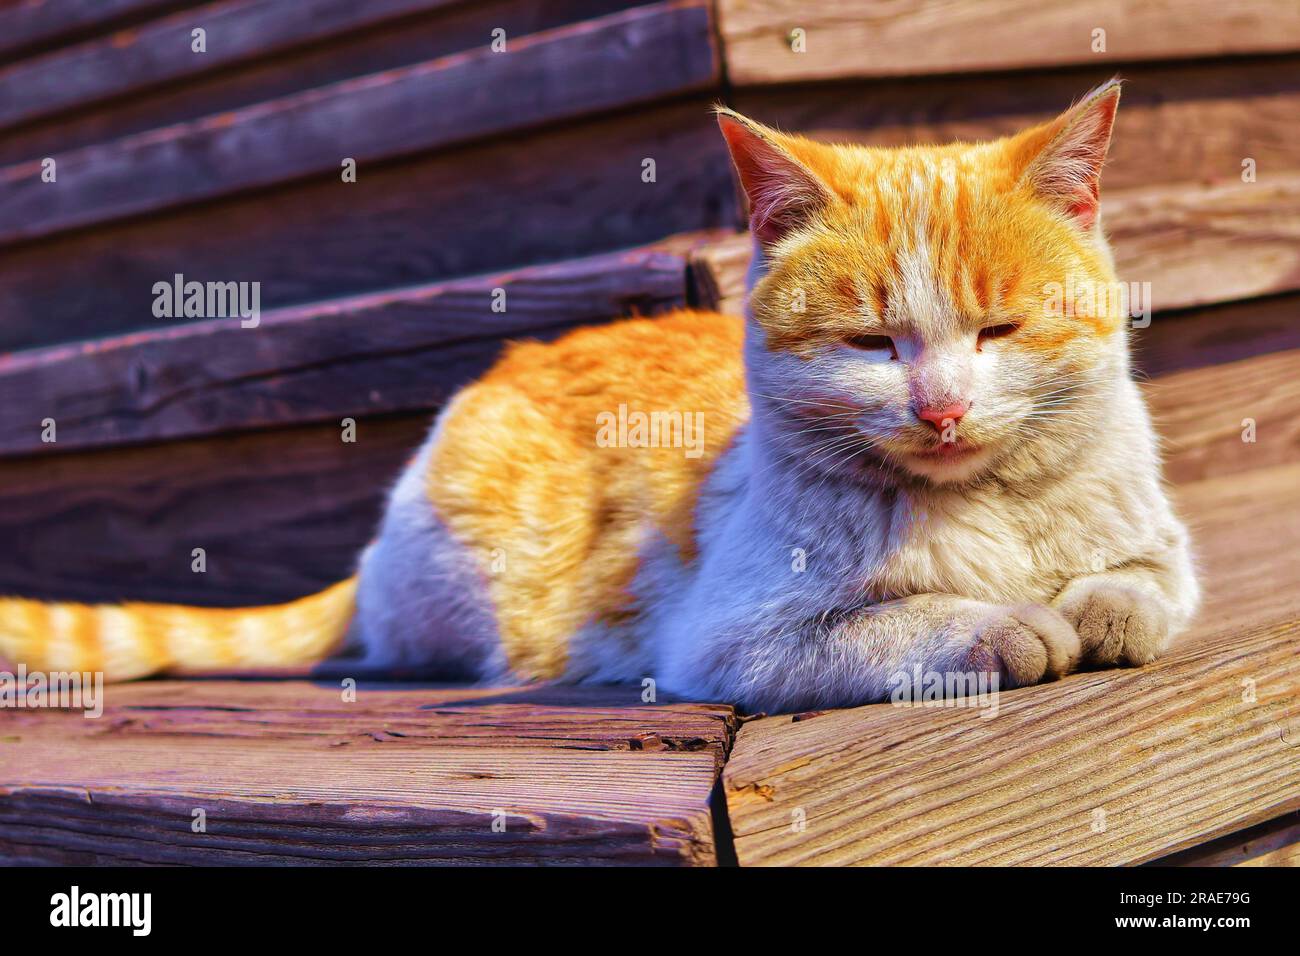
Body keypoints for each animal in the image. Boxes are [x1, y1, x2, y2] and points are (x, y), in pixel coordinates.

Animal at [0, 80, 1196, 712]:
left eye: (1000, 331)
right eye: (870, 341)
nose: (940, 410)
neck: (981, 506)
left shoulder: (1165, 551)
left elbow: (1141, 585)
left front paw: (1096, 608)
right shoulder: (734, 642)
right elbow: (902, 623)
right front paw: (1006, 623)